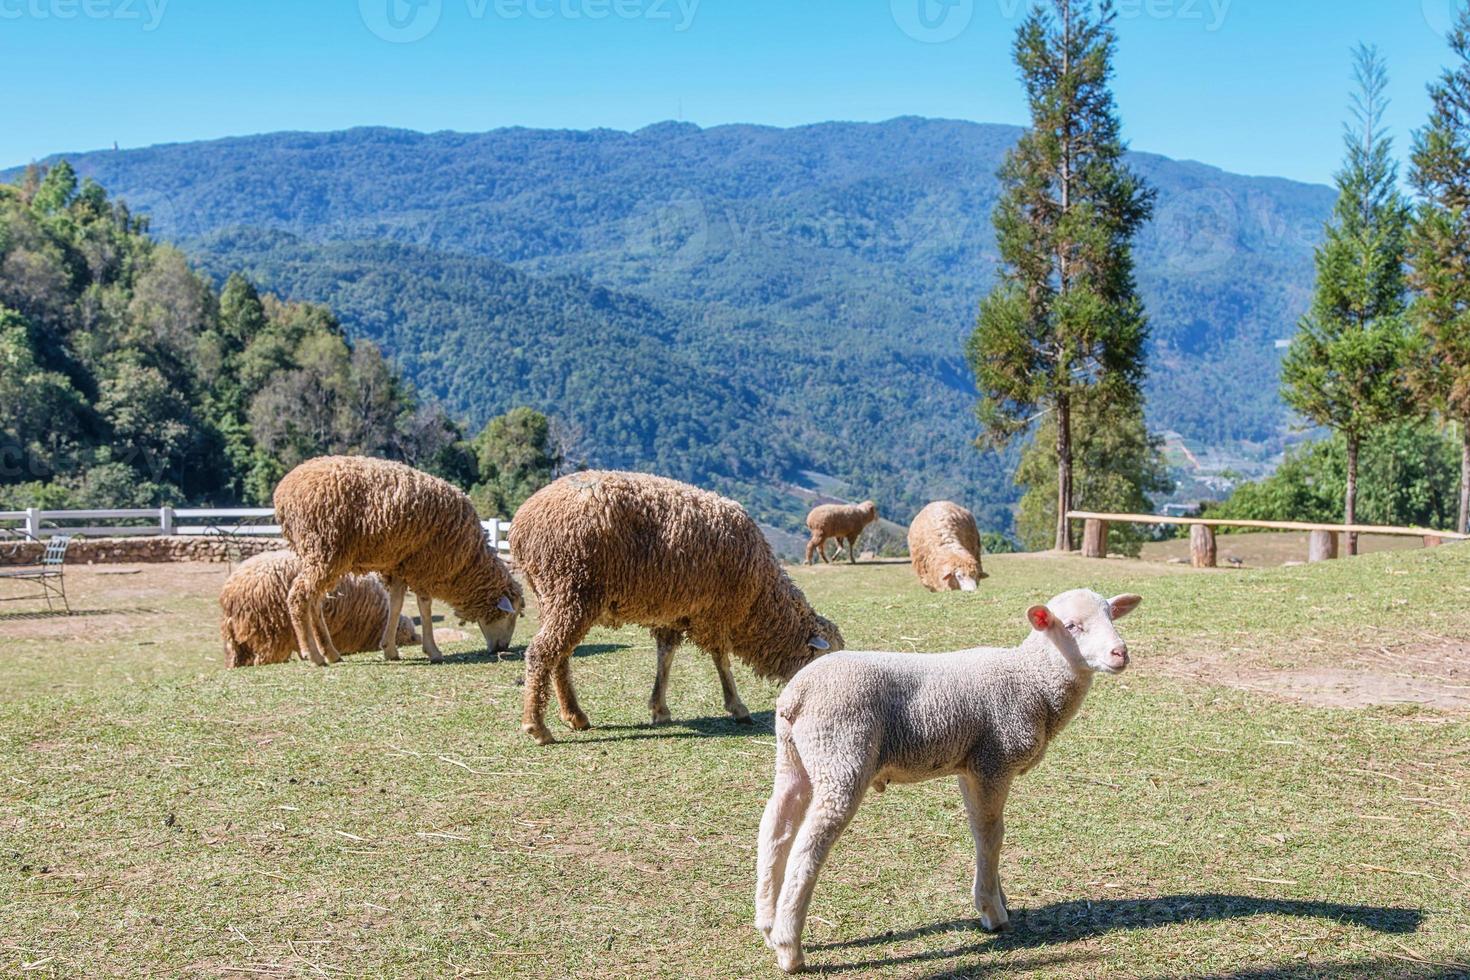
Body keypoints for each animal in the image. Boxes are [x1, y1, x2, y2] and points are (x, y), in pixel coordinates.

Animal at [273, 458, 526, 667]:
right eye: (510, 615)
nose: (501, 649)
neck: (467, 561)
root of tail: (283, 493)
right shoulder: (423, 564)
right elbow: (424, 606)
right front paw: (433, 650)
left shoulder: (399, 566)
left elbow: (395, 604)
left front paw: (389, 649)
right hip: (325, 549)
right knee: (299, 596)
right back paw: (313, 655)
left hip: (319, 556)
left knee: (314, 601)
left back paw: (331, 653)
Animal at [511, 473, 846, 743]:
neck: (759, 599)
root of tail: (522, 523)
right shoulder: (715, 613)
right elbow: (721, 660)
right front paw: (737, 707)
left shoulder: (672, 613)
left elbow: (666, 656)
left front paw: (659, 709)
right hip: (571, 590)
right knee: (542, 652)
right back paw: (537, 727)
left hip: (554, 597)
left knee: (560, 655)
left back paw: (574, 716)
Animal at [752, 590, 1140, 975]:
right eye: (1072, 626)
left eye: (1111, 616)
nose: (1120, 653)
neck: (1032, 679)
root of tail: (797, 694)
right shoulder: (994, 762)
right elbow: (992, 834)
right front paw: (993, 912)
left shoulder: (971, 767)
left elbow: (982, 832)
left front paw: (997, 899)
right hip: (841, 755)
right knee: (808, 846)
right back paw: (789, 948)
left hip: (795, 758)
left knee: (776, 827)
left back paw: (768, 925)